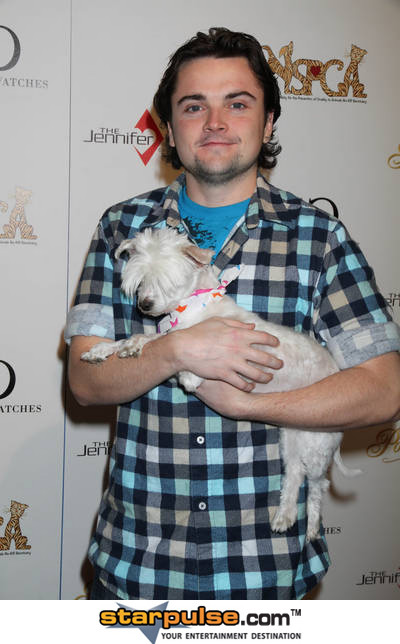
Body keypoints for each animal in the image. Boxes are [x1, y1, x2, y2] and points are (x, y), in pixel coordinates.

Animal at [81, 226, 361, 541]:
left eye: (168, 281)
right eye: (140, 280)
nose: (144, 304)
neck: (193, 306)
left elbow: (163, 347)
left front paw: (181, 370)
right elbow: (142, 338)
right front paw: (104, 350)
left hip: (317, 445)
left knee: (316, 485)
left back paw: (312, 526)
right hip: (291, 438)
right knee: (293, 475)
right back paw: (284, 517)